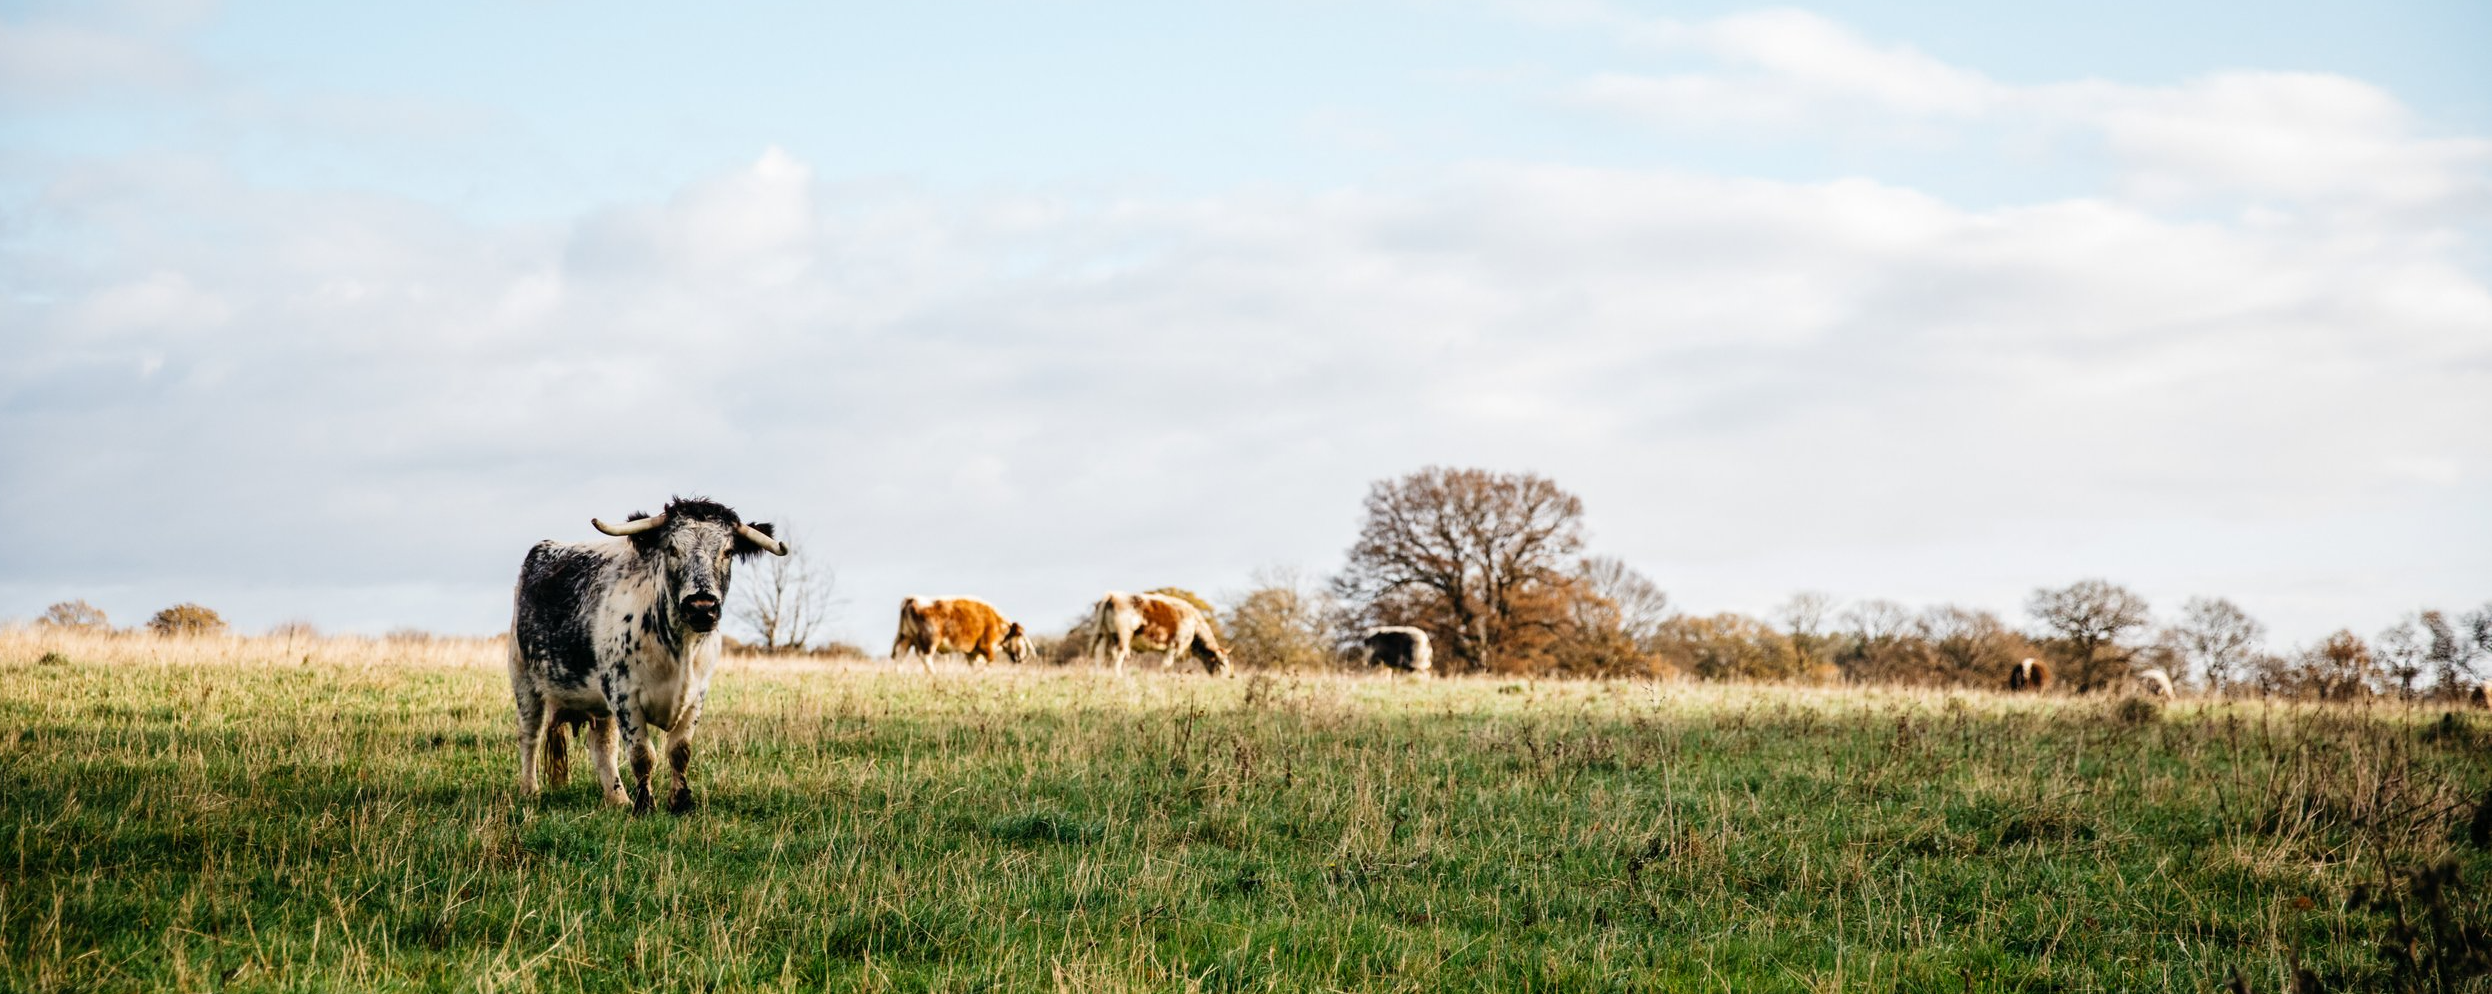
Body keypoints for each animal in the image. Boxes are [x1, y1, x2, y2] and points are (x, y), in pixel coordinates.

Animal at [503, 498, 777, 817]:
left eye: (727, 552)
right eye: (672, 549)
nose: (702, 608)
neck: (680, 648)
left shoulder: (697, 695)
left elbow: (679, 750)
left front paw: (680, 802)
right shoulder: (624, 694)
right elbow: (642, 753)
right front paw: (645, 805)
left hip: (600, 703)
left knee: (603, 747)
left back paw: (617, 798)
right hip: (525, 682)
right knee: (529, 735)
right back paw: (529, 790)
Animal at [887, 595, 1031, 672]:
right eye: (1020, 637)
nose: (1023, 657)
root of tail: (912, 599)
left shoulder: (972, 652)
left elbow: (973, 665)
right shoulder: (987, 647)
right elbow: (989, 663)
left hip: (906, 637)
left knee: (900, 655)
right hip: (929, 641)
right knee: (925, 657)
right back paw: (935, 675)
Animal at [1091, 592, 1236, 677]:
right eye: (1221, 664)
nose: (1227, 678)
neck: (1194, 624)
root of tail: (1113, 595)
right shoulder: (1174, 646)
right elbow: (1166, 666)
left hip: (1104, 634)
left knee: (1099, 652)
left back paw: (1098, 675)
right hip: (1123, 635)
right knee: (1118, 653)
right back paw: (1118, 676)